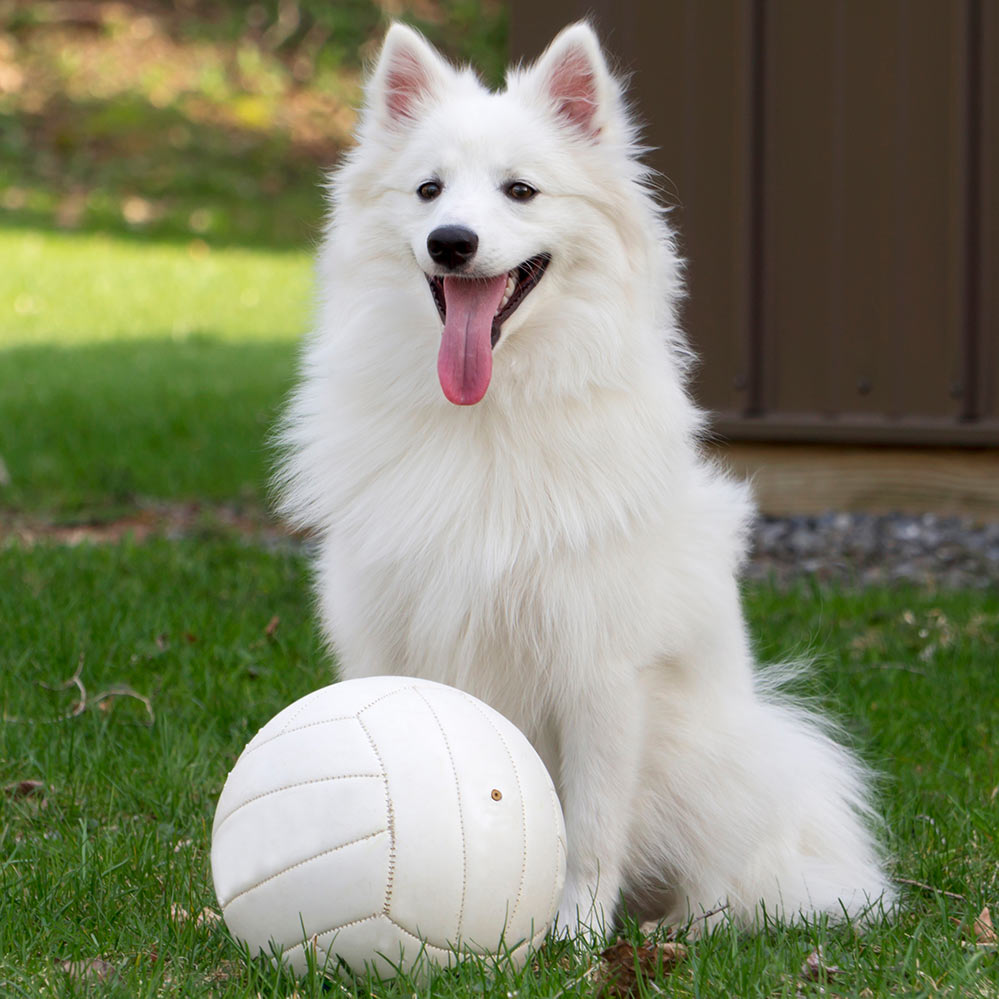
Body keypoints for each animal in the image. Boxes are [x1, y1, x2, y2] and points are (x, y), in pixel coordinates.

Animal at [278, 17, 896, 936]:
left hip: (718, 770)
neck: (486, 418)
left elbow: (591, 822)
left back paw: (680, 927)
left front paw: (572, 936)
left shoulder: (597, 670)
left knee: (734, 885)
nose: (451, 242)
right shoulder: (390, 639)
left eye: (520, 191)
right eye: (428, 191)